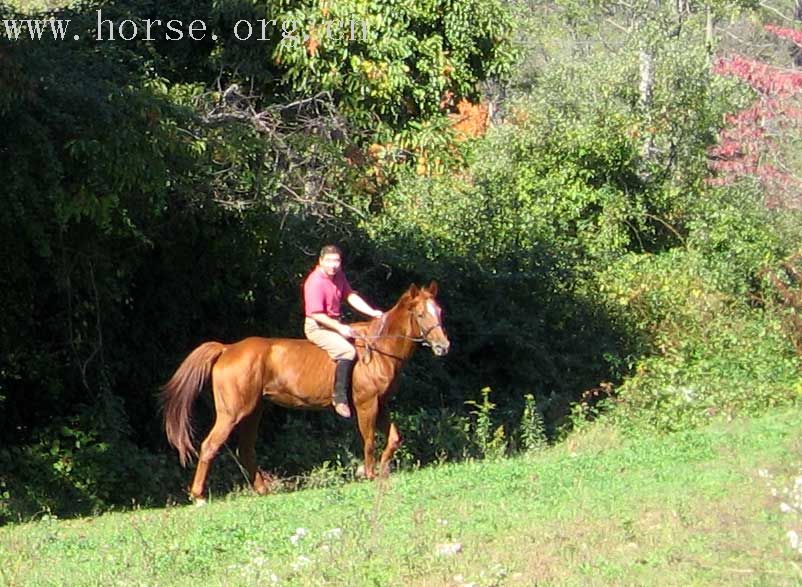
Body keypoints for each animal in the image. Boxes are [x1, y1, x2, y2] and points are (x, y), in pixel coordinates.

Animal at [159, 282, 446, 504]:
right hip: (232, 413)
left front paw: (382, 469)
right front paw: (368, 473)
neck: (378, 351)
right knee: (209, 446)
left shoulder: (382, 404)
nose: (444, 347)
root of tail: (227, 349)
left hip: (253, 411)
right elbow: (369, 440)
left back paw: (262, 489)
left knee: (246, 450)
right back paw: (198, 496)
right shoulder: (367, 404)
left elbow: (394, 438)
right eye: (421, 314)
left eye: (439, 311)